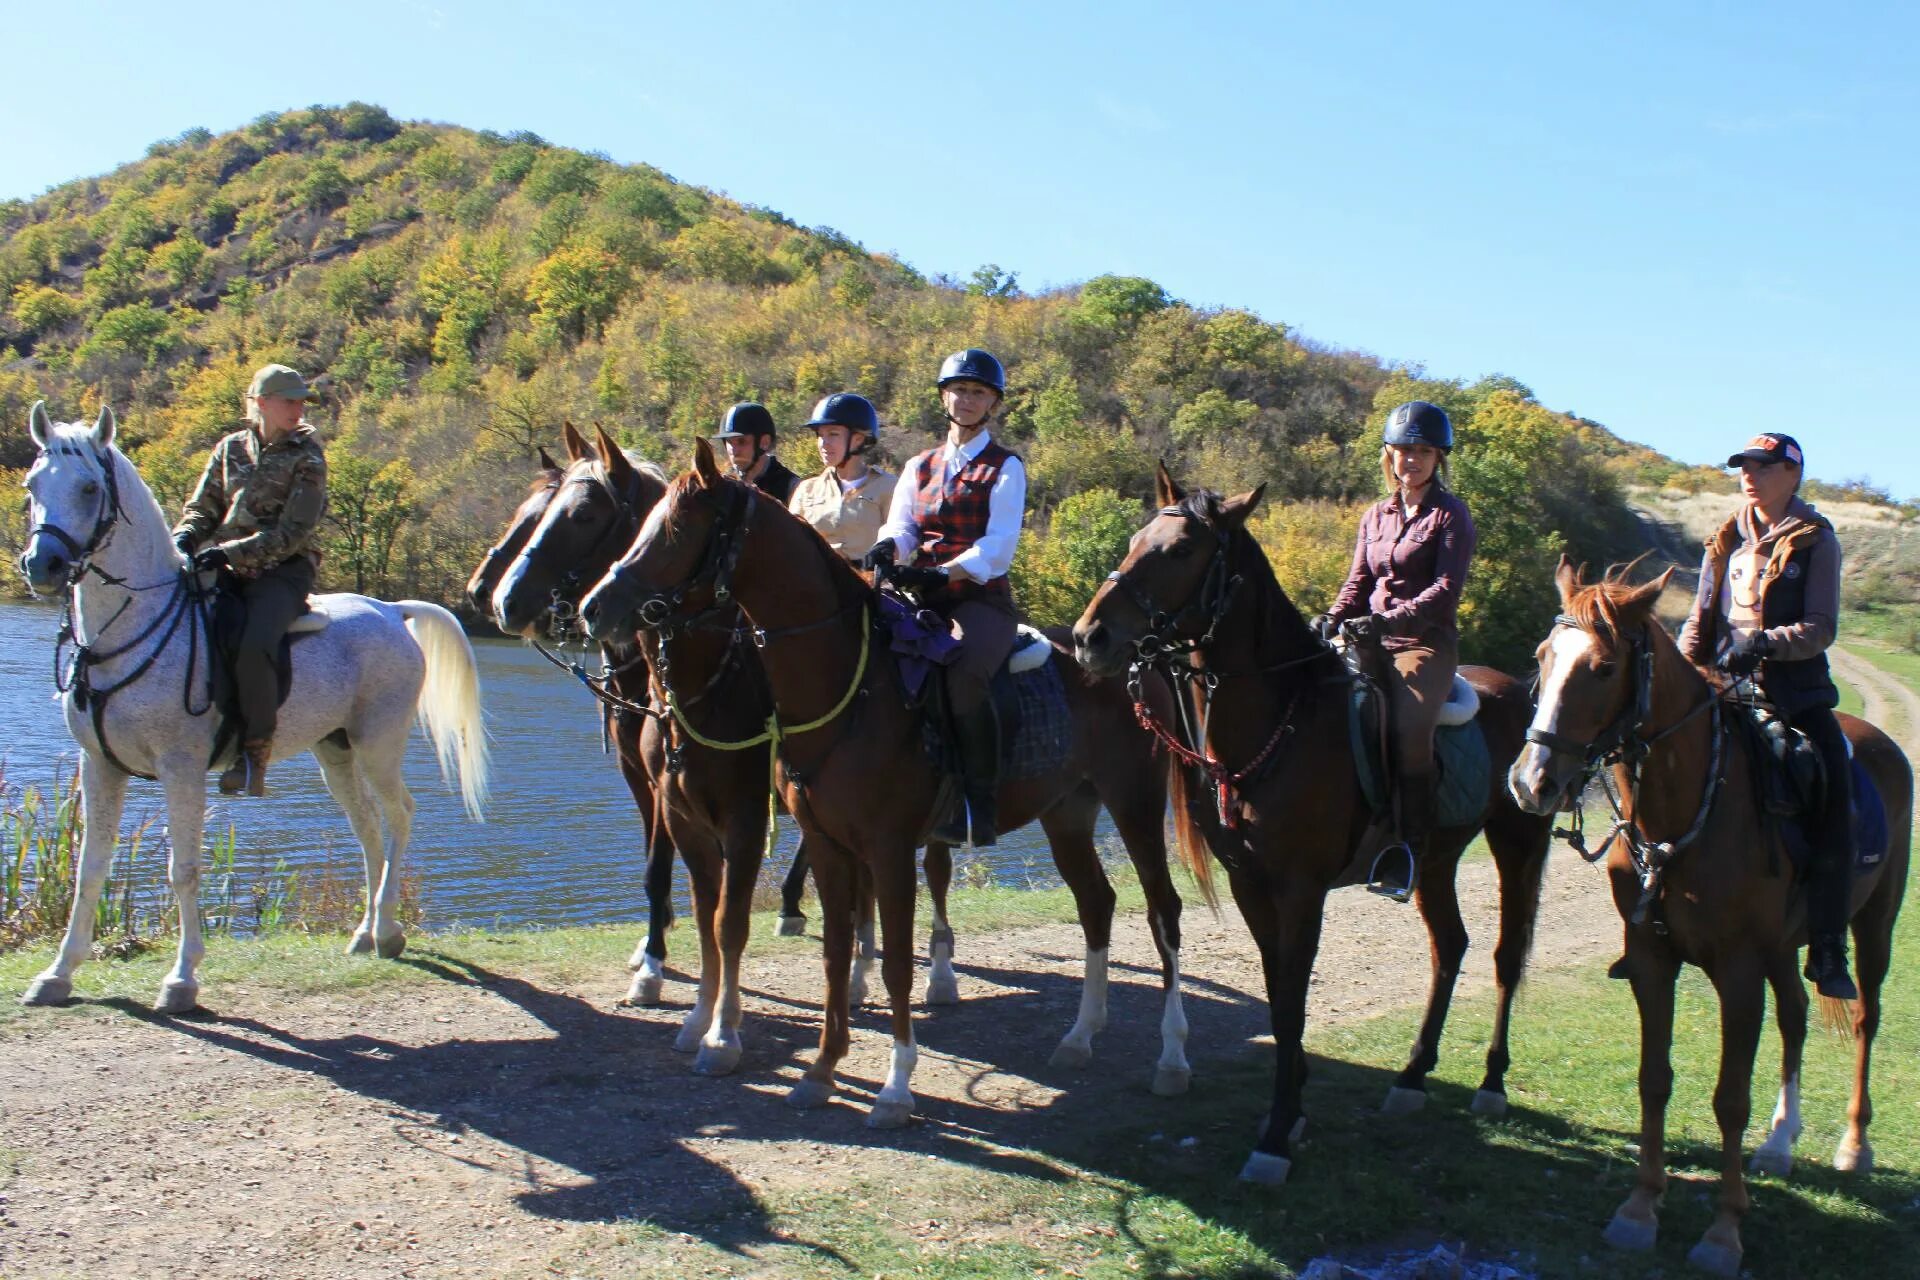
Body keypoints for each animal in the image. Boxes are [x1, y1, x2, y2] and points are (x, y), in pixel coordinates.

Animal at [576, 445, 1190, 1128]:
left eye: (679, 530)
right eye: (644, 522)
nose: (594, 606)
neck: (852, 685)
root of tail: (1131, 660)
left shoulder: (885, 848)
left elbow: (894, 959)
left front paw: (896, 1085)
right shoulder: (825, 844)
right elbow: (835, 951)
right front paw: (821, 1070)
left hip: (1136, 805)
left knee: (1164, 912)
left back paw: (1172, 1058)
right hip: (1067, 815)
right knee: (1097, 906)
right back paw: (1081, 1036)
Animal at [1075, 466, 1566, 1189]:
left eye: (1183, 551)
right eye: (1138, 538)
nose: (1090, 638)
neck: (1284, 716)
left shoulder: (1301, 890)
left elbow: (1292, 1001)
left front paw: (1276, 1135)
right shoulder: (1252, 885)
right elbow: (1277, 990)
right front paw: (1296, 1106)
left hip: (1519, 842)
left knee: (1507, 954)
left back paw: (1491, 1084)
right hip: (1435, 860)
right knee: (1450, 945)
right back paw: (1412, 1077)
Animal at [1512, 564, 1904, 1280]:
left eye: (1603, 668)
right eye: (1543, 658)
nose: (1533, 781)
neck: (1687, 807)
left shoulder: (1738, 972)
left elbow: (1729, 1098)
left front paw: (1724, 1232)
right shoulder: (1652, 960)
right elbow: (1654, 1078)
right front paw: (1640, 1208)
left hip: (1874, 925)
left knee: (1865, 1017)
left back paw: (1853, 1143)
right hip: (1784, 948)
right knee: (1796, 1017)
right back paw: (1780, 1142)